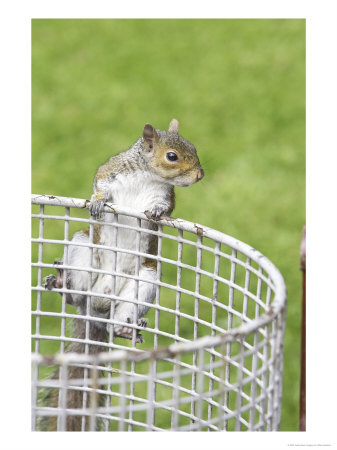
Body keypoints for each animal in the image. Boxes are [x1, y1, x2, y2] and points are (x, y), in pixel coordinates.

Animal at [43, 119, 203, 432]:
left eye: (193, 148)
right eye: (172, 156)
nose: (200, 175)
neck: (146, 175)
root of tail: (97, 311)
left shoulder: (165, 194)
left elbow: (164, 207)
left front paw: (156, 211)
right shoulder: (111, 172)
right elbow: (99, 184)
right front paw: (97, 202)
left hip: (144, 281)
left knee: (120, 320)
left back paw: (126, 329)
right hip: (83, 248)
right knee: (75, 297)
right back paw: (63, 284)